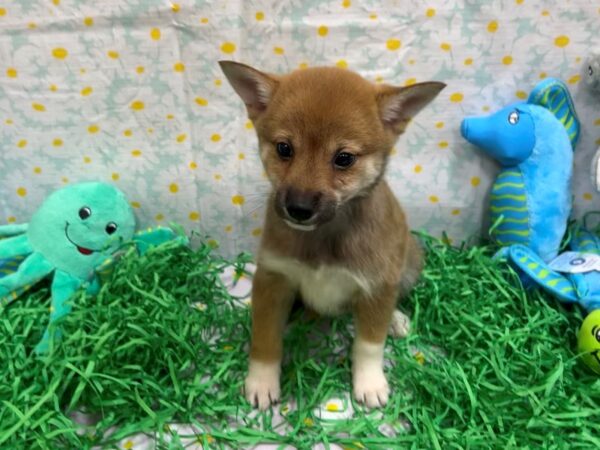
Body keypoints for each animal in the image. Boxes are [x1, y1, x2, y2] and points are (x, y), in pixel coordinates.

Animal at [220, 61, 446, 410]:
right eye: (284, 148)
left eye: (344, 159)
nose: (298, 208)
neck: (323, 238)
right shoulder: (274, 278)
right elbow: (265, 339)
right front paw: (261, 381)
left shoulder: (376, 285)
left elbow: (369, 343)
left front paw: (370, 382)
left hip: (408, 265)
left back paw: (395, 319)